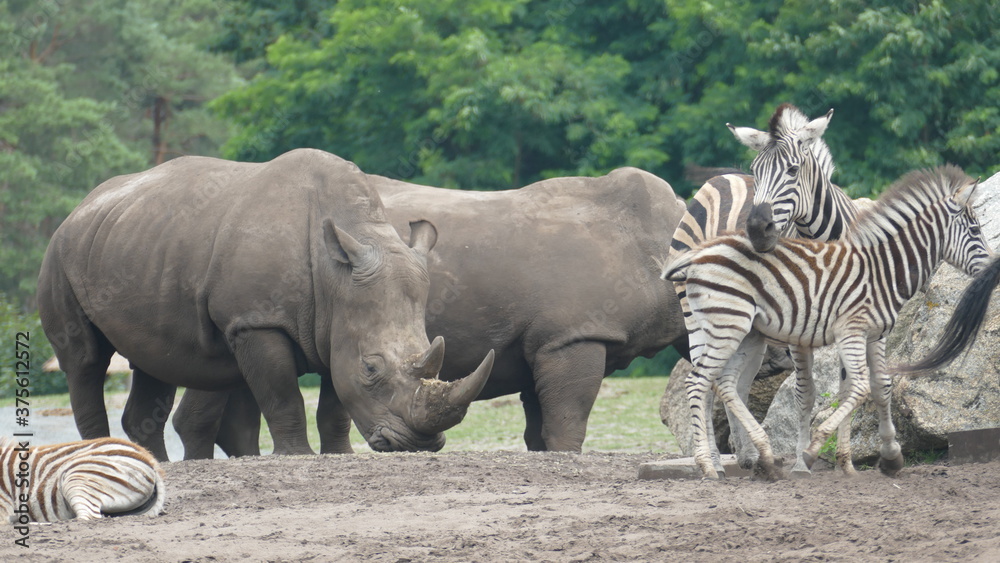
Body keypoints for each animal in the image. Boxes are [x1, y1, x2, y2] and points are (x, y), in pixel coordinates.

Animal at [664, 165, 992, 480]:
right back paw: (709, 467)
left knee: (726, 383)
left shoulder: (874, 335)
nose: (992, 268)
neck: (883, 270)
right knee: (698, 382)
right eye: (975, 229)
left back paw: (763, 457)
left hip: (744, 333)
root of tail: (700, 254)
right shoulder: (851, 332)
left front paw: (888, 457)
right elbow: (859, 389)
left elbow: (878, 387)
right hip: (726, 326)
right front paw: (810, 454)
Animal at [668, 103, 863, 476]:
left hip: (747, 327)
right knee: (706, 378)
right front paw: (802, 462)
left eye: (793, 169)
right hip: (695, 310)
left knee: (732, 381)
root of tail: (721, 178)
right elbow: (805, 393)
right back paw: (714, 461)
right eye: (756, 172)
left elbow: (848, 387)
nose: (757, 230)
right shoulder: (799, 332)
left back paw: (748, 456)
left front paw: (846, 462)